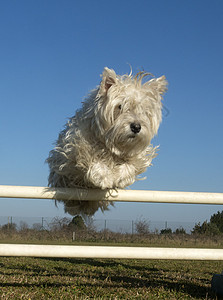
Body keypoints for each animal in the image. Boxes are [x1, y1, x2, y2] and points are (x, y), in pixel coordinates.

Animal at [47, 67, 166, 216]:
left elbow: (131, 164)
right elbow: (90, 157)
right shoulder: (73, 148)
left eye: (144, 110)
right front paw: (104, 177)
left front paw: (120, 177)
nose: (136, 127)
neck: (111, 143)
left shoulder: (139, 154)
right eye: (120, 106)